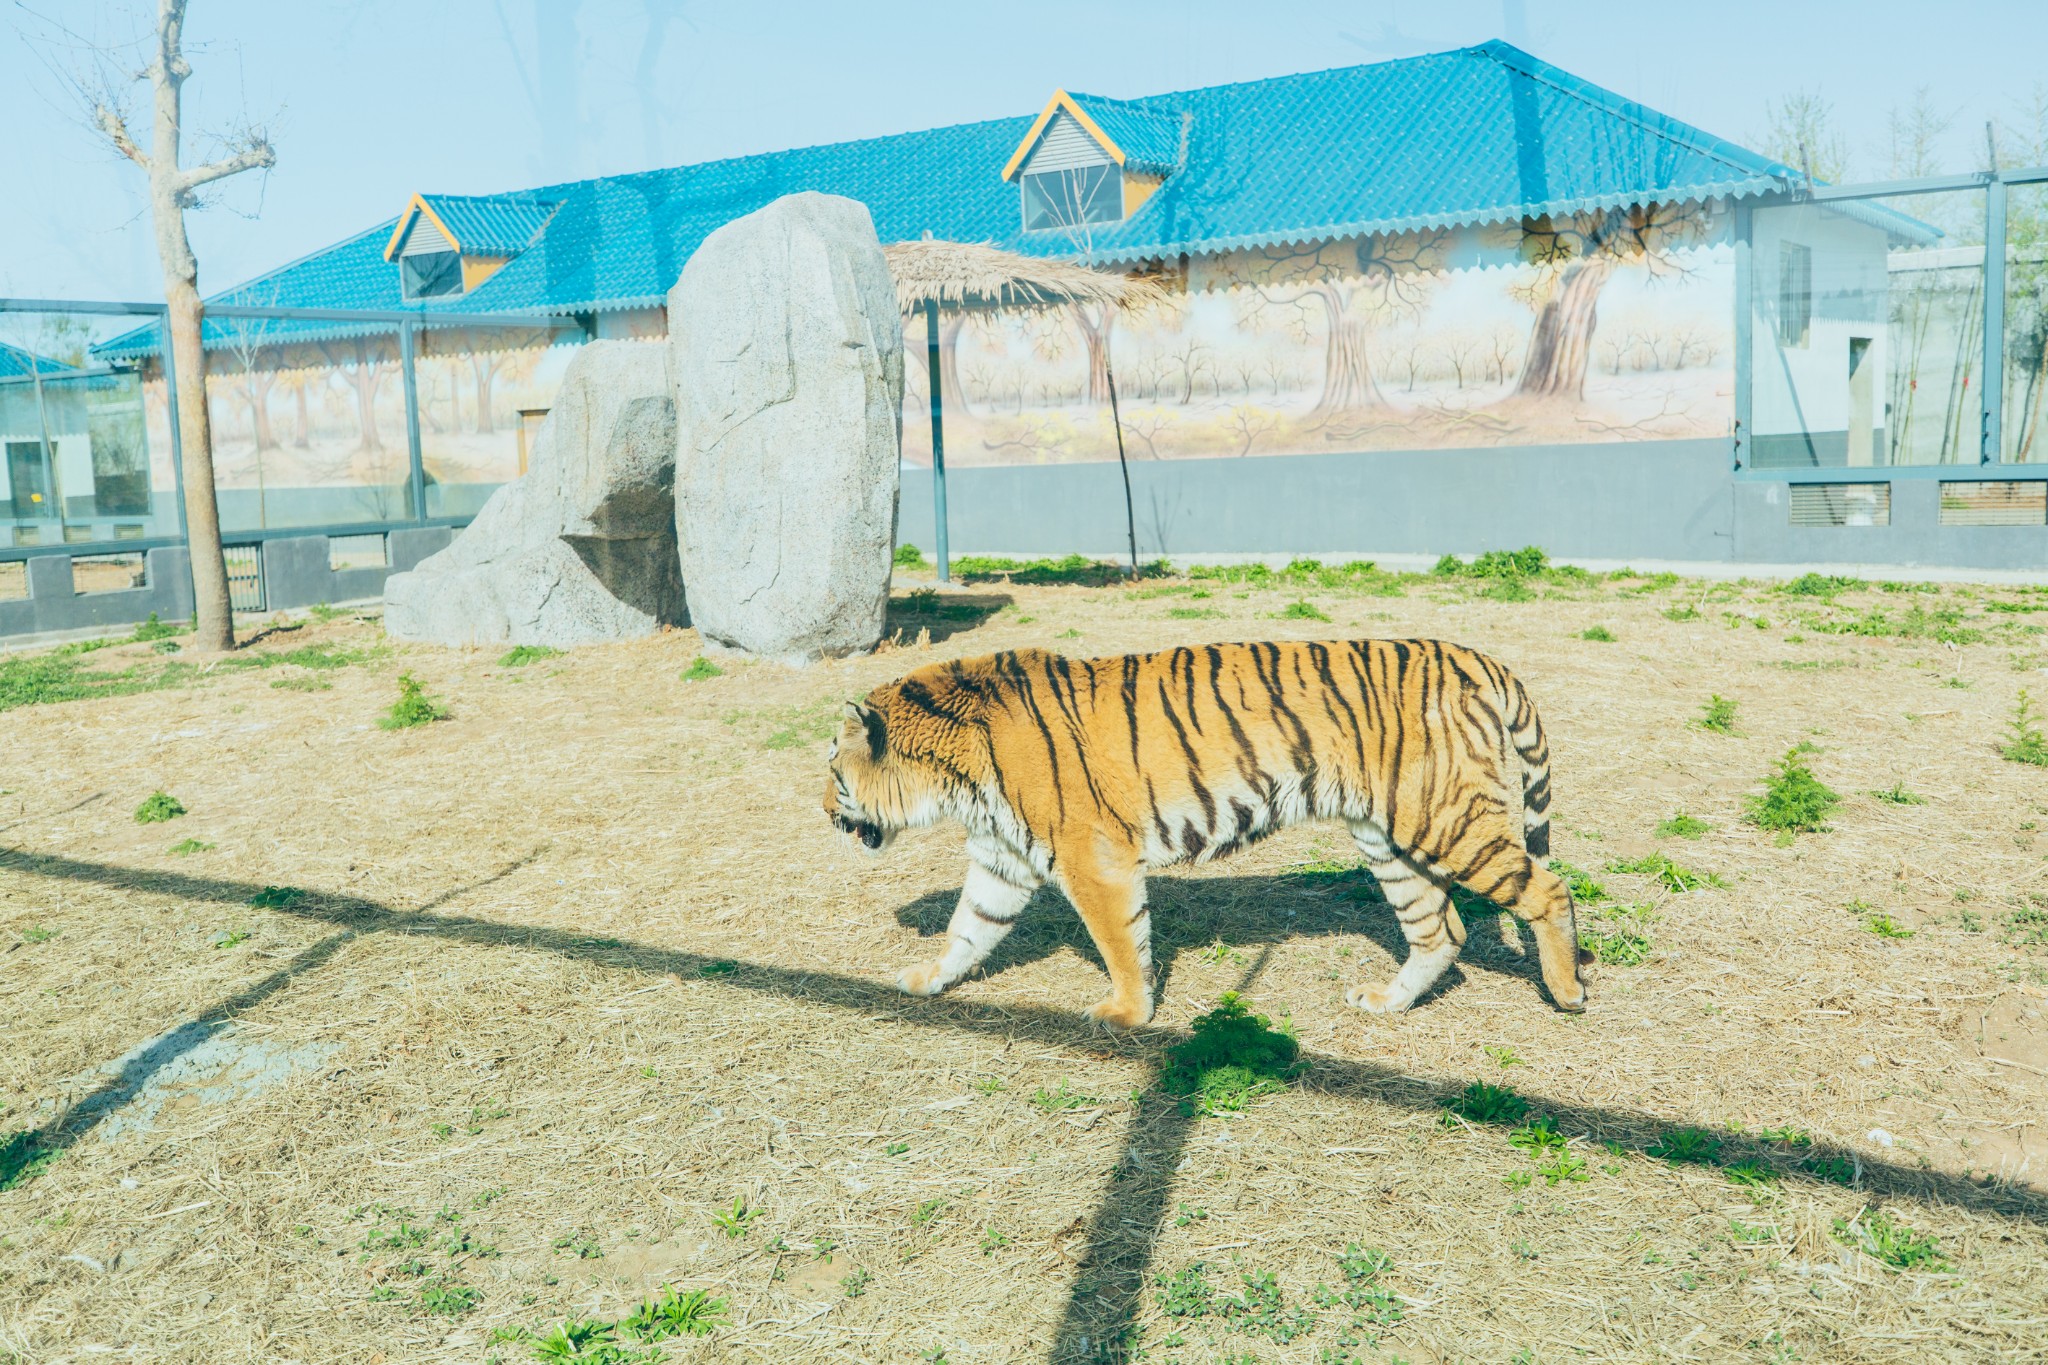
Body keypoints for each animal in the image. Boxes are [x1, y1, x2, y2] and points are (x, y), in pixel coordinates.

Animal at [823, 642, 1589, 1023]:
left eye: (832, 768)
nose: (826, 813)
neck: (950, 774)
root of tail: (1474, 657)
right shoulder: (1003, 858)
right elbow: (969, 927)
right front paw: (926, 980)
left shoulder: (1090, 858)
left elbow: (1120, 942)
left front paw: (1126, 1014)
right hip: (1387, 837)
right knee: (1441, 930)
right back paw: (1385, 1002)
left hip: (1446, 817)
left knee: (1549, 888)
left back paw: (1567, 991)